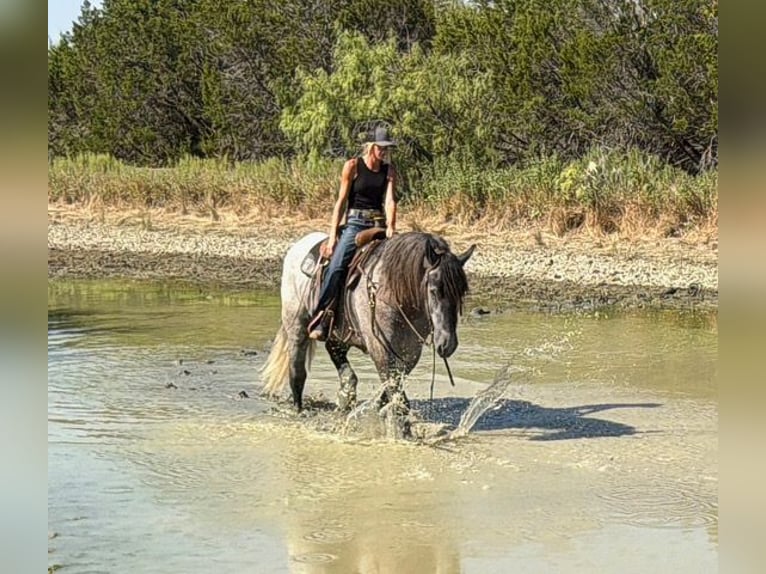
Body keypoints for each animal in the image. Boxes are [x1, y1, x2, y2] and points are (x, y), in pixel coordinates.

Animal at [261, 231, 476, 413]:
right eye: (434, 290)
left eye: (461, 294)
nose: (448, 344)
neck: (393, 291)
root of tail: (300, 245)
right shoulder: (379, 347)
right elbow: (394, 389)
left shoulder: (411, 351)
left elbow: (393, 385)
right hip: (296, 324)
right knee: (297, 371)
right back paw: (299, 409)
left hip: (339, 332)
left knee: (337, 354)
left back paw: (346, 395)